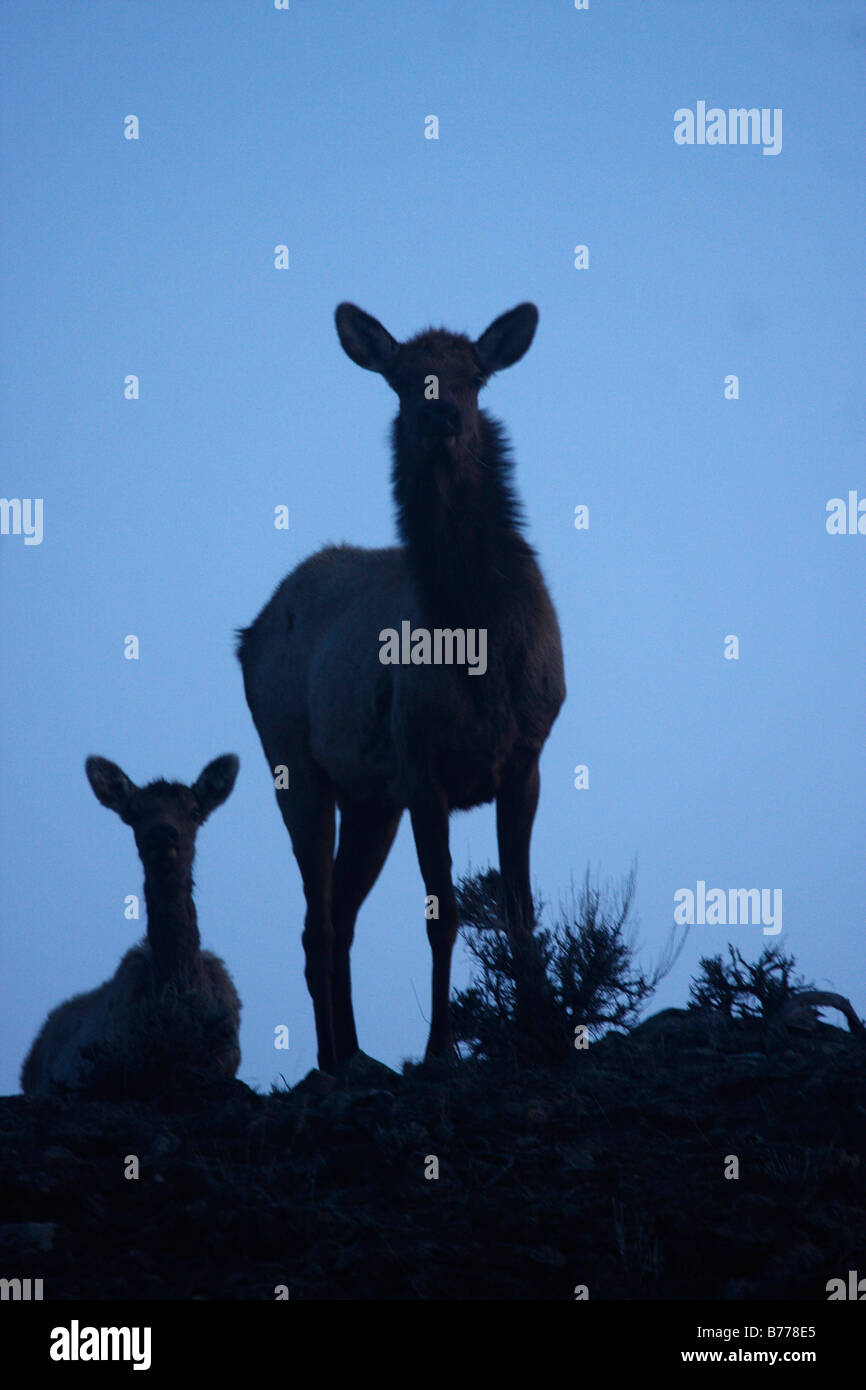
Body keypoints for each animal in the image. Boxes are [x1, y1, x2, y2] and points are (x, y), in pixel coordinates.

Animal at [237, 298, 567, 1067]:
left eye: (474, 375)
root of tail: (248, 633)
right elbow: (443, 914)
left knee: (342, 917)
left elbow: (519, 907)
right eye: (402, 378)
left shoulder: (526, 759)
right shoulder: (422, 768)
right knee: (318, 923)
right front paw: (441, 1048)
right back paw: (332, 1062)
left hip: (369, 798)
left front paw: (541, 1028)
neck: (478, 639)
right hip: (294, 764)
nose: (440, 414)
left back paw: (359, 1054)